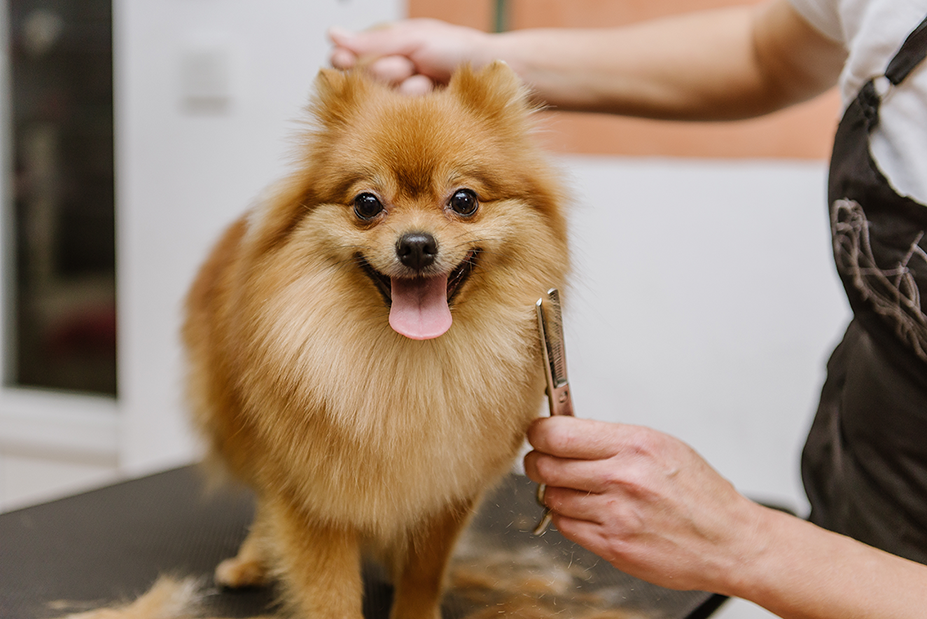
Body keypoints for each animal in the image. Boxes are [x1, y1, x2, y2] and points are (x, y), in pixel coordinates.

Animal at [182, 64, 568, 619]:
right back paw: (252, 559)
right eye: (367, 204)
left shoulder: (446, 492)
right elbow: (329, 593)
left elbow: (424, 572)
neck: (409, 362)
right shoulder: (313, 497)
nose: (416, 245)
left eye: (464, 200)